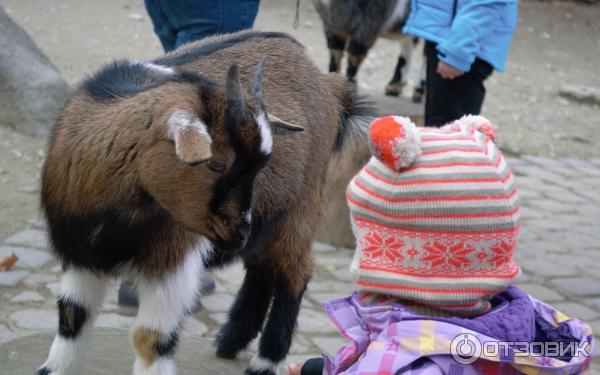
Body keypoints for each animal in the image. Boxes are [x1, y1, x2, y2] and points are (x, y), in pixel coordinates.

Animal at [37, 31, 372, 375]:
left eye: (258, 166)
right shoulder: (82, 254)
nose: (239, 231)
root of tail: (330, 85)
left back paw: (265, 361)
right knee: (262, 267)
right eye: (215, 164)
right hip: (268, 221)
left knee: (295, 273)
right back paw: (230, 341)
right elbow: (71, 316)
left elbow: (150, 337)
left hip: (300, 210)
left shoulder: (170, 259)